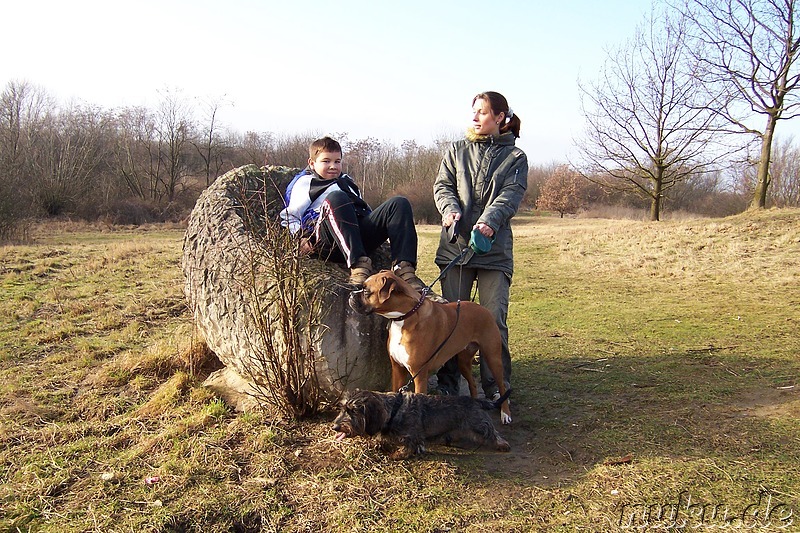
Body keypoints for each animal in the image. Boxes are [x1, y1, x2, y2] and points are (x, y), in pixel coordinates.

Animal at [332, 386, 512, 458]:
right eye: (342, 408)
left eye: (353, 411)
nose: (334, 427)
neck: (394, 410)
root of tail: (475, 401)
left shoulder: (412, 436)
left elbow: (409, 446)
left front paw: (398, 454)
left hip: (479, 424)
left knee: (492, 433)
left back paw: (503, 445)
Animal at [350, 270, 512, 424]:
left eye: (366, 291)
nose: (351, 294)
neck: (405, 316)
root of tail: (483, 309)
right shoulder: (397, 369)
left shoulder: (419, 375)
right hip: (464, 362)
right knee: (472, 384)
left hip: (493, 359)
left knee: (502, 386)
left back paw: (505, 414)